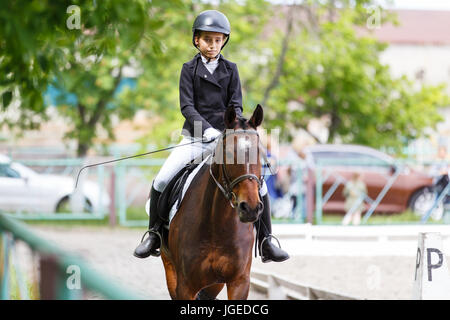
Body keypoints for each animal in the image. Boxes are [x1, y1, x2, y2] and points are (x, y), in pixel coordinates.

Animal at [160, 105, 266, 300]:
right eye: (229, 153)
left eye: (260, 154)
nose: (250, 209)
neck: (218, 224)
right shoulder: (185, 286)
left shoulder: (239, 282)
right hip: (170, 268)